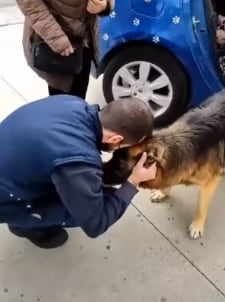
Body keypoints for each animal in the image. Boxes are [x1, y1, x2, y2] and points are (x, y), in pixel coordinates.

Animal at [103, 89, 225, 238]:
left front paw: (197, 225)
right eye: (113, 155)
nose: (99, 171)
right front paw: (163, 192)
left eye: (120, 165)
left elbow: (201, 206)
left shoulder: (211, 182)